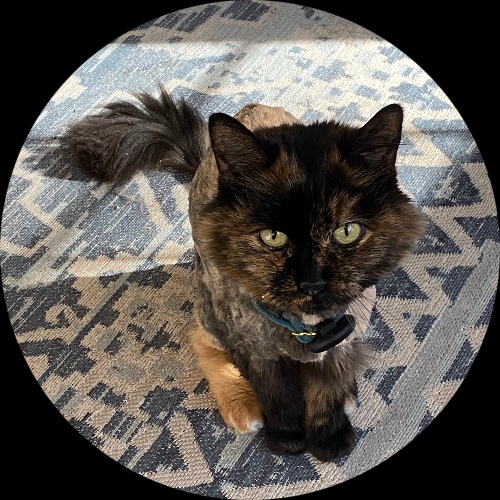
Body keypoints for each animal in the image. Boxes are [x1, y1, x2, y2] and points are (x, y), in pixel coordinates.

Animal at [66, 87, 426, 461]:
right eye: (272, 237)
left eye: (347, 232)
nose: (312, 283)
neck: (305, 331)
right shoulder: (253, 345)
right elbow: (278, 394)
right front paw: (286, 438)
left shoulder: (343, 334)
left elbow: (325, 389)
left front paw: (329, 437)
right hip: (211, 309)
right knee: (201, 339)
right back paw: (241, 406)